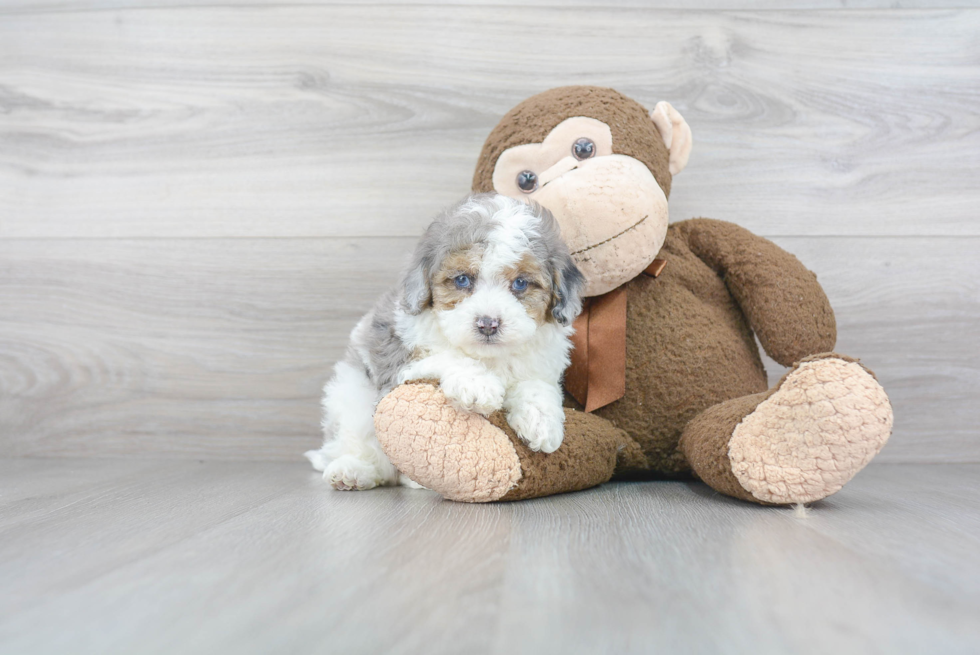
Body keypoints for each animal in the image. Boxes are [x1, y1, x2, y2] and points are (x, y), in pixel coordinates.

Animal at [306, 192, 580, 490]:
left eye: (520, 283)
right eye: (462, 280)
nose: (488, 323)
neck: (488, 356)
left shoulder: (541, 363)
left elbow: (536, 385)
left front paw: (541, 421)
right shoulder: (400, 360)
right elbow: (445, 356)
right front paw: (478, 384)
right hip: (351, 396)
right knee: (365, 447)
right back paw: (354, 471)